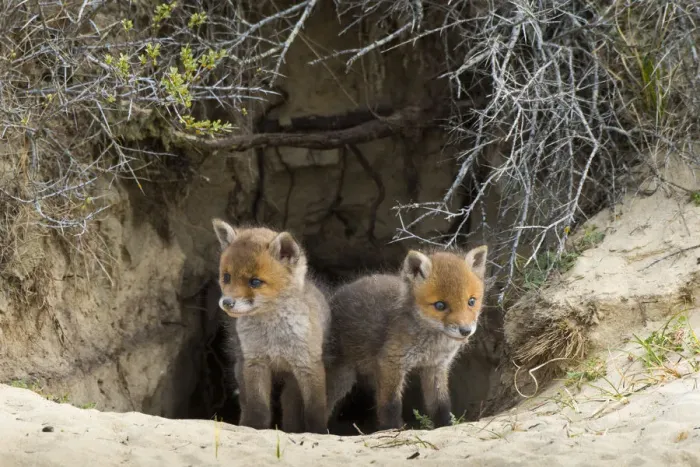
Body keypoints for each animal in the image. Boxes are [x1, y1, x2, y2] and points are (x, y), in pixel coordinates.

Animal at [212, 218, 330, 434]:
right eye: (226, 277)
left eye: (255, 282)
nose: (227, 303)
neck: (273, 335)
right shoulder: (255, 362)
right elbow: (258, 407)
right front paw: (255, 428)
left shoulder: (308, 364)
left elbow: (315, 409)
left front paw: (318, 431)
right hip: (241, 369)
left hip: (292, 381)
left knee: (289, 404)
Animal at [324, 245, 488, 431]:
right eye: (440, 305)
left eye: (471, 301)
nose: (465, 330)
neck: (433, 344)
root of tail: (332, 298)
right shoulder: (391, 362)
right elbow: (391, 404)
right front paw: (393, 428)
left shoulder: (436, 367)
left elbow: (440, 403)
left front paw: (445, 424)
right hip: (342, 378)